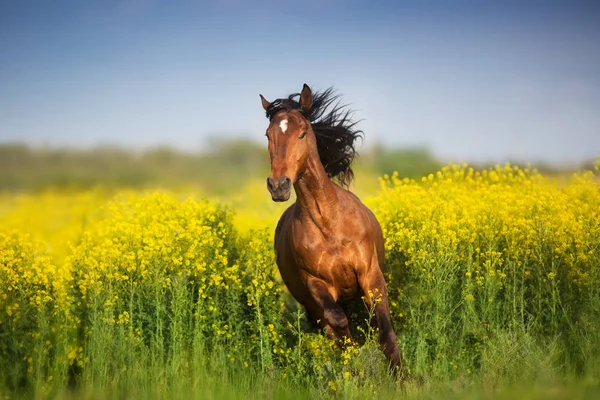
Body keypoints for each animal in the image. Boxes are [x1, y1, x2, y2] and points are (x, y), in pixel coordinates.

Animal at [258, 83, 406, 376]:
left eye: (303, 132)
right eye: (268, 135)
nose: (278, 185)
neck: (329, 225)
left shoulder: (371, 275)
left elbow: (386, 334)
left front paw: (404, 379)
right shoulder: (317, 284)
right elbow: (338, 323)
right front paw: (357, 365)